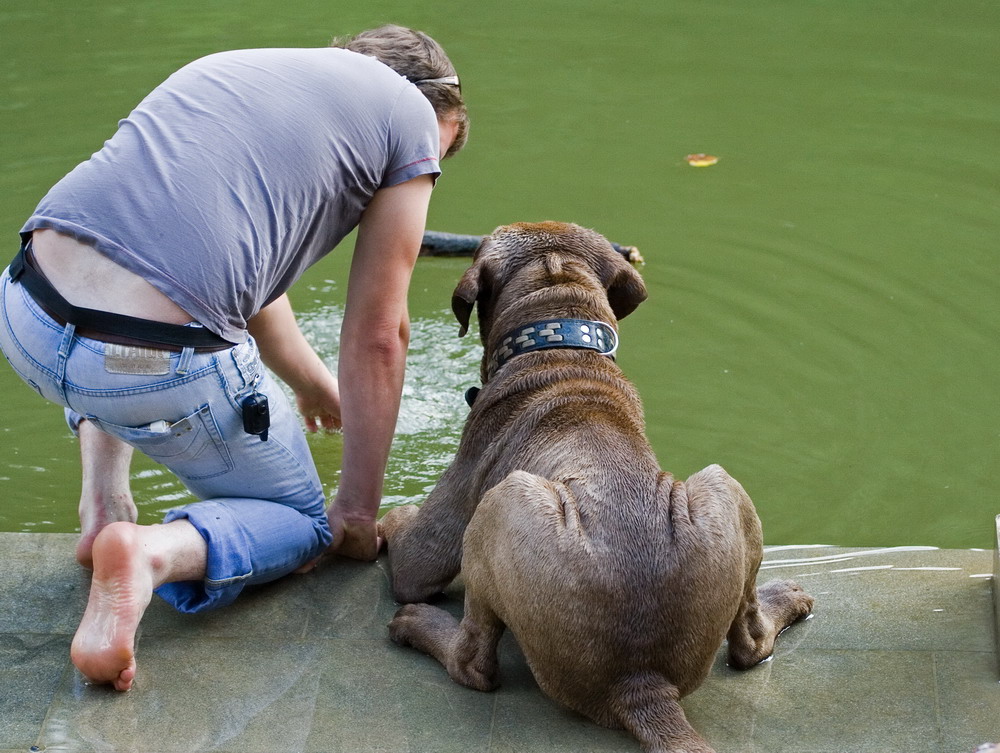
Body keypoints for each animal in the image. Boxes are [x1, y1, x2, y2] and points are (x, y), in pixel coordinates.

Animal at [378, 222, 816, 752]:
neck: (556, 344)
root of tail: (641, 683)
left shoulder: (429, 539)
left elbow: (407, 553)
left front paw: (390, 519)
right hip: (723, 486)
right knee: (750, 643)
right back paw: (789, 599)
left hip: (503, 500)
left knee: (474, 664)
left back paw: (419, 625)